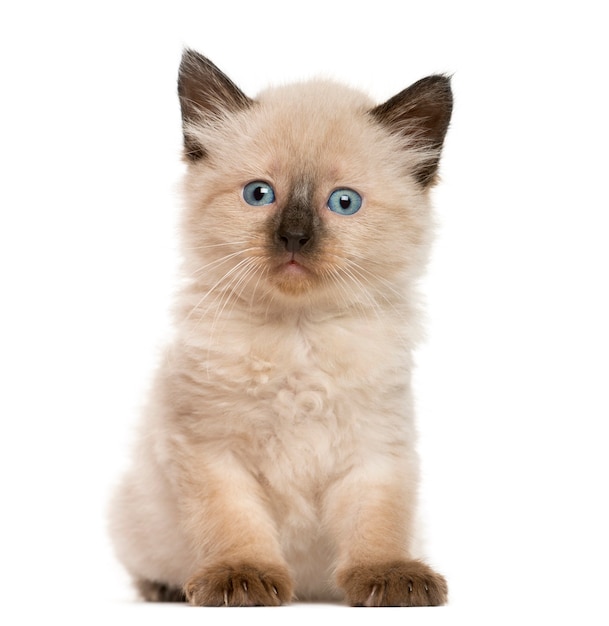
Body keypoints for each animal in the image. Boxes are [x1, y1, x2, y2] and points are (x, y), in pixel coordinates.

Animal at [109, 48, 452, 604]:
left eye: (344, 202)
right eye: (259, 194)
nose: (294, 237)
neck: (299, 335)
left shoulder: (376, 453)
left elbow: (378, 525)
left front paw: (387, 576)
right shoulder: (213, 453)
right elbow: (234, 526)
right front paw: (240, 579)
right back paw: (167, 590)